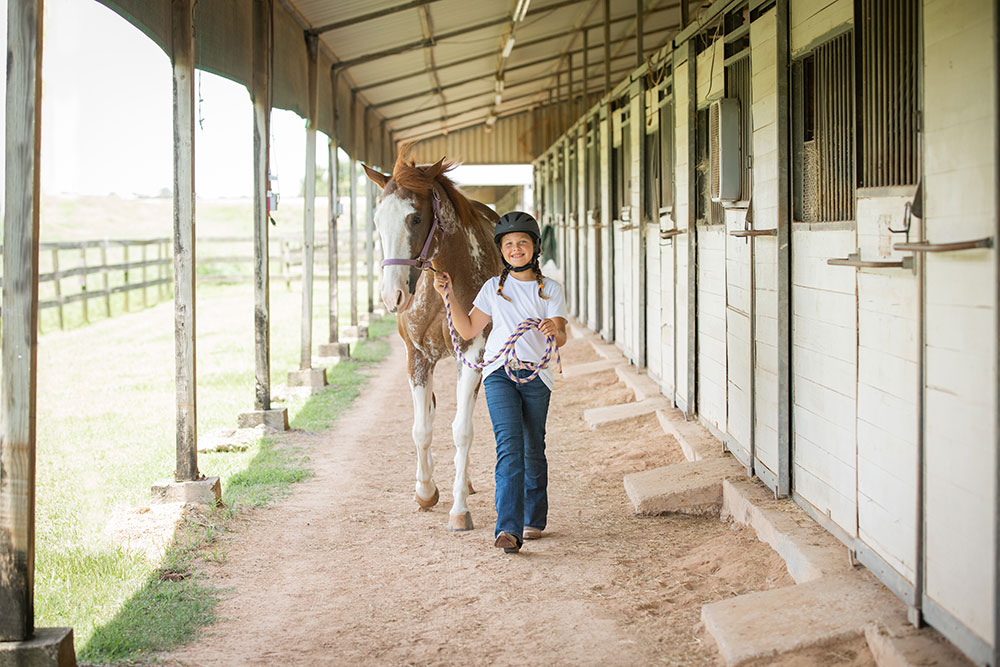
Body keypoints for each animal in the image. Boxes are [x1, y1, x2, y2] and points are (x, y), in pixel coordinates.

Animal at [362, 153, 500, 532]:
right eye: (377, 220)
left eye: (415, 217)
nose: (392, 295)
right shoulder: (418, 357)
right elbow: (421, 428)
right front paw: (426, 491)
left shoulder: (473, 353)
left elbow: (462, 430)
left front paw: (459, 509)